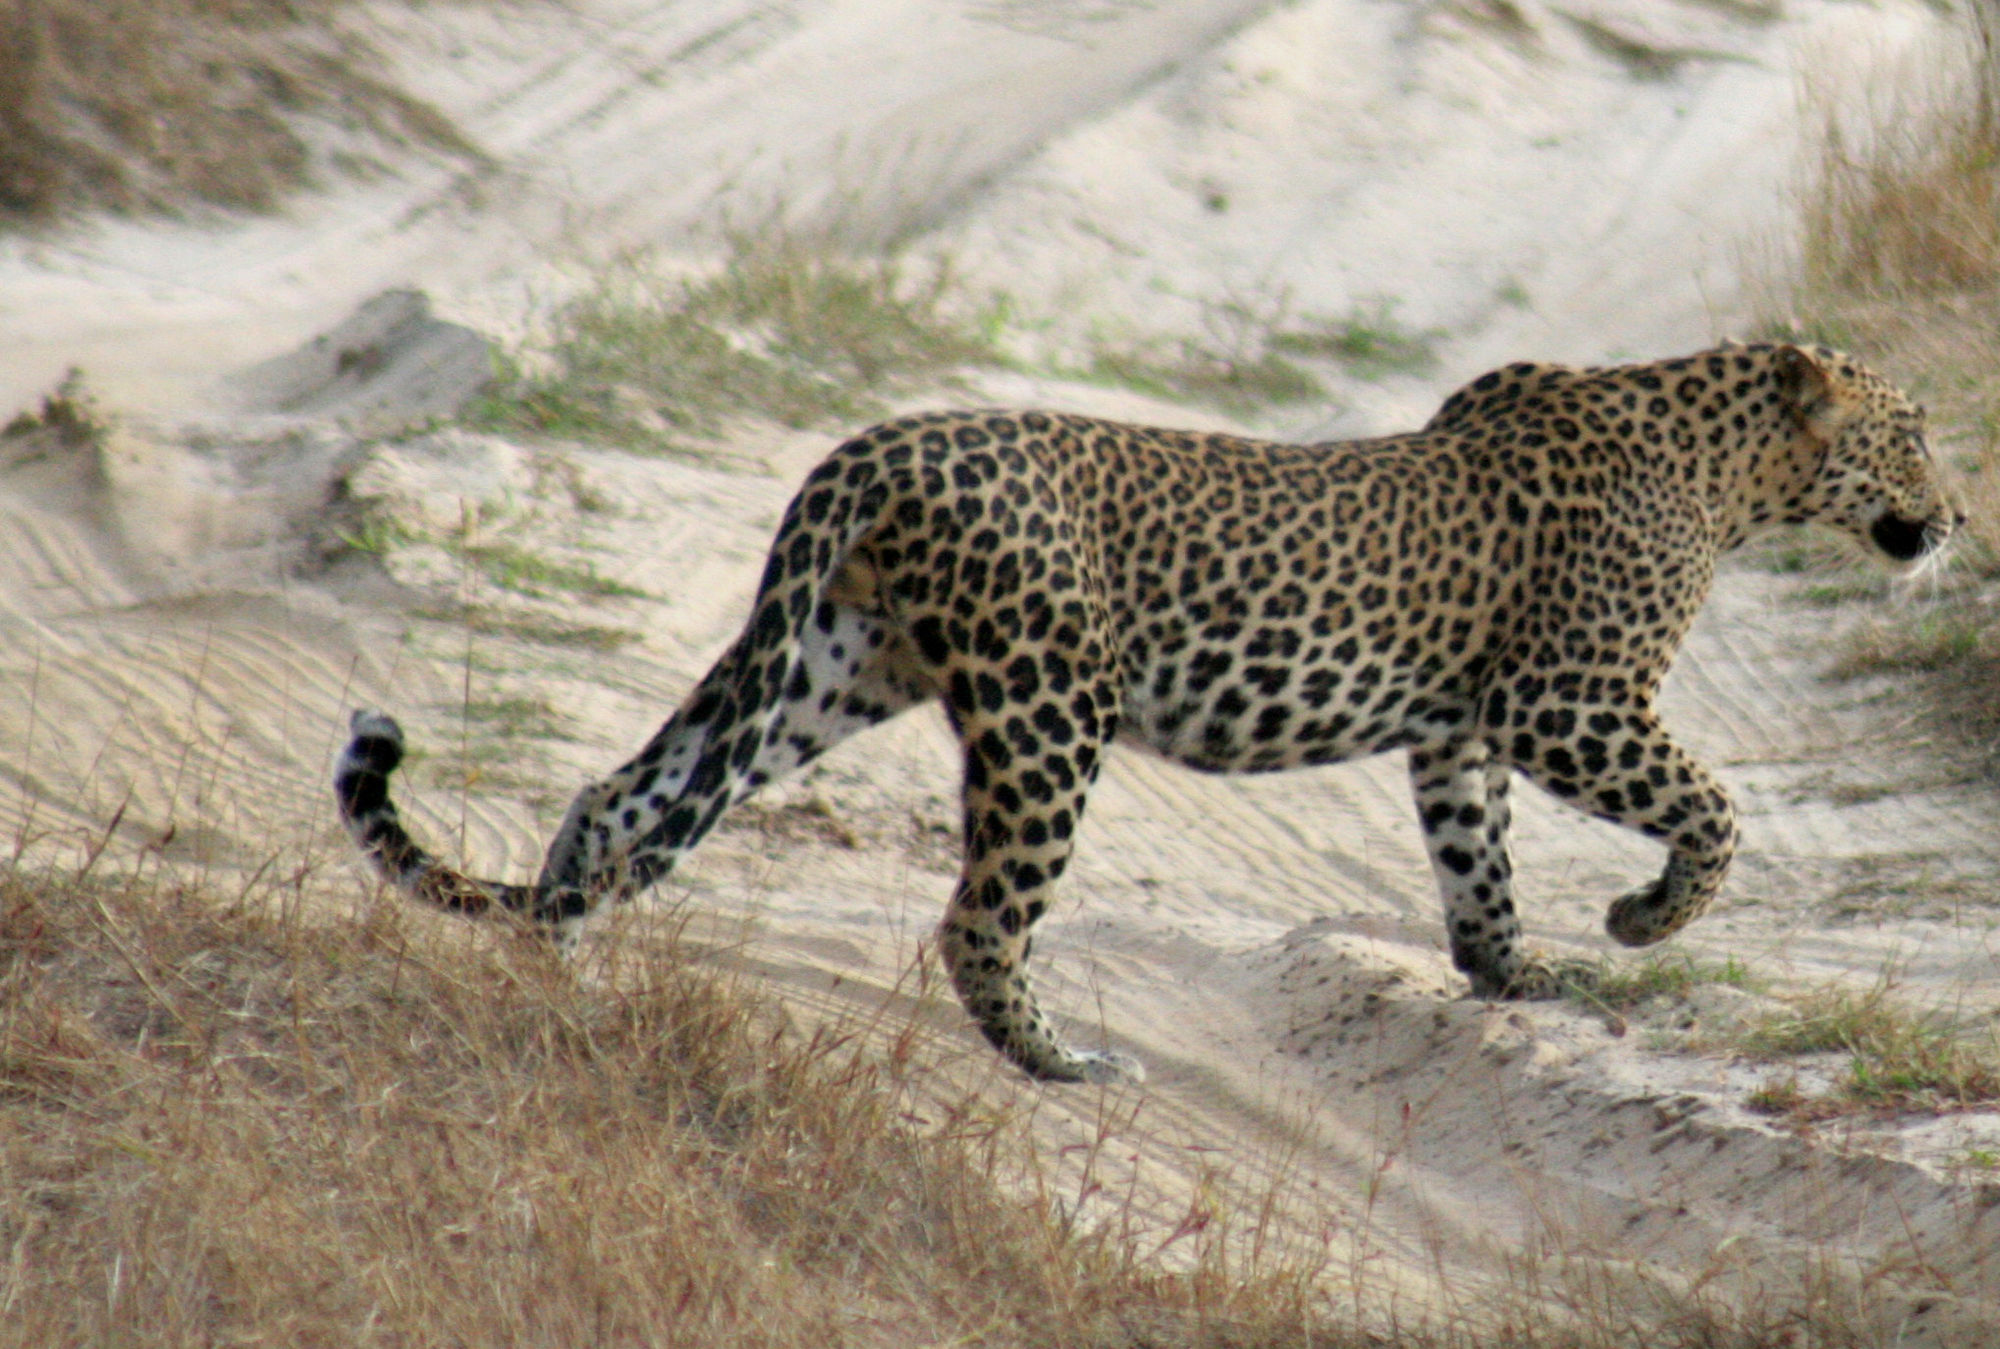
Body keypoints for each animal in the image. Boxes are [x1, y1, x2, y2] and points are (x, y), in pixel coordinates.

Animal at [336, 338, 1960, 1080]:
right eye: (1913, 435)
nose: (1953, 518)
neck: (1736, 474)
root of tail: (870, 449)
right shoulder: (1566, 697)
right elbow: (1716, 808)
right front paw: (1638, 922)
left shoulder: (1460, 727)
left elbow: (1476, 858)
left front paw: (1516, 972)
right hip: (1047, 708)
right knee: (978, 916)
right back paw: (1056, 1059)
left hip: (826, 665)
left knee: (625, 794)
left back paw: (550, 960)